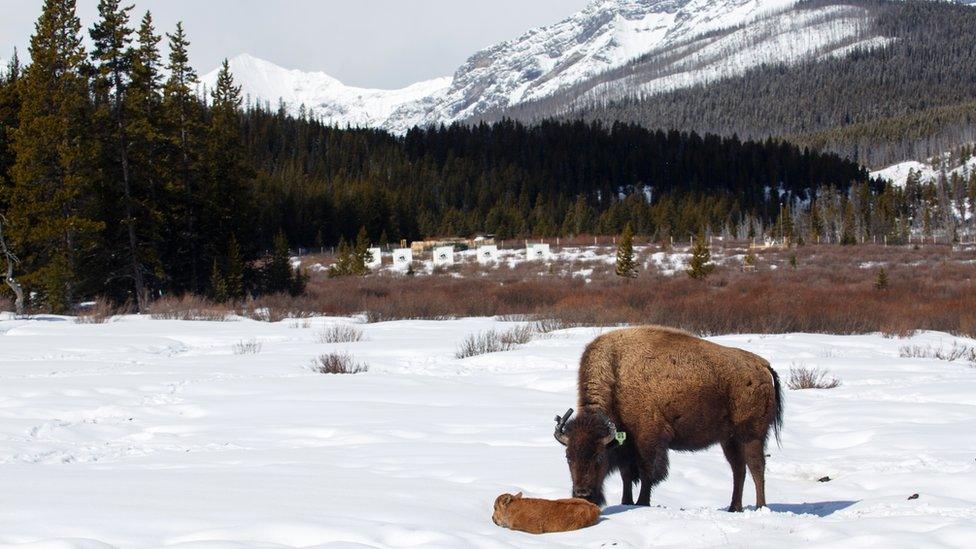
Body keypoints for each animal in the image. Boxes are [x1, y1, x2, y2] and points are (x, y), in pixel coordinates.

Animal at [552, 326, 780, 510]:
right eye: (568, 457)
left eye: (599, 456)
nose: (582, 494)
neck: (616, 377)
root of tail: (762, 365)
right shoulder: (626, 446)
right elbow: (627, 475)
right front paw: (626, 502)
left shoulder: (648, 439)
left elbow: (647, 473)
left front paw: (642, 503)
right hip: (729, 439)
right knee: (738, 469)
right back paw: (734, 508)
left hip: (751, 435)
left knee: (756, 467)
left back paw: (760, 507)